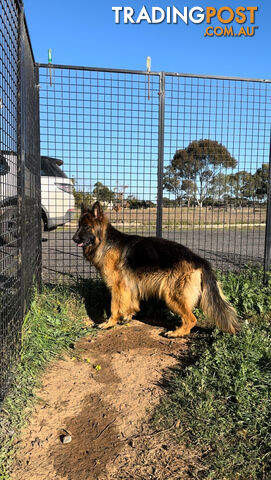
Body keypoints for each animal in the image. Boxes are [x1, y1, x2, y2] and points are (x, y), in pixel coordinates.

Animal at [73, 202, 240, 338]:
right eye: (78, 225)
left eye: (86, 226)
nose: (74, 239)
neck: (106, 242)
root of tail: (200, 260)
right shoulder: (129, 286)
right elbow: (131, 303)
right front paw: (127, 316)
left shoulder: (117, 286)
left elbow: (114, 307)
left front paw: (109, 323)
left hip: (171, 295)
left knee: (191, 319)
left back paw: (177, 333)